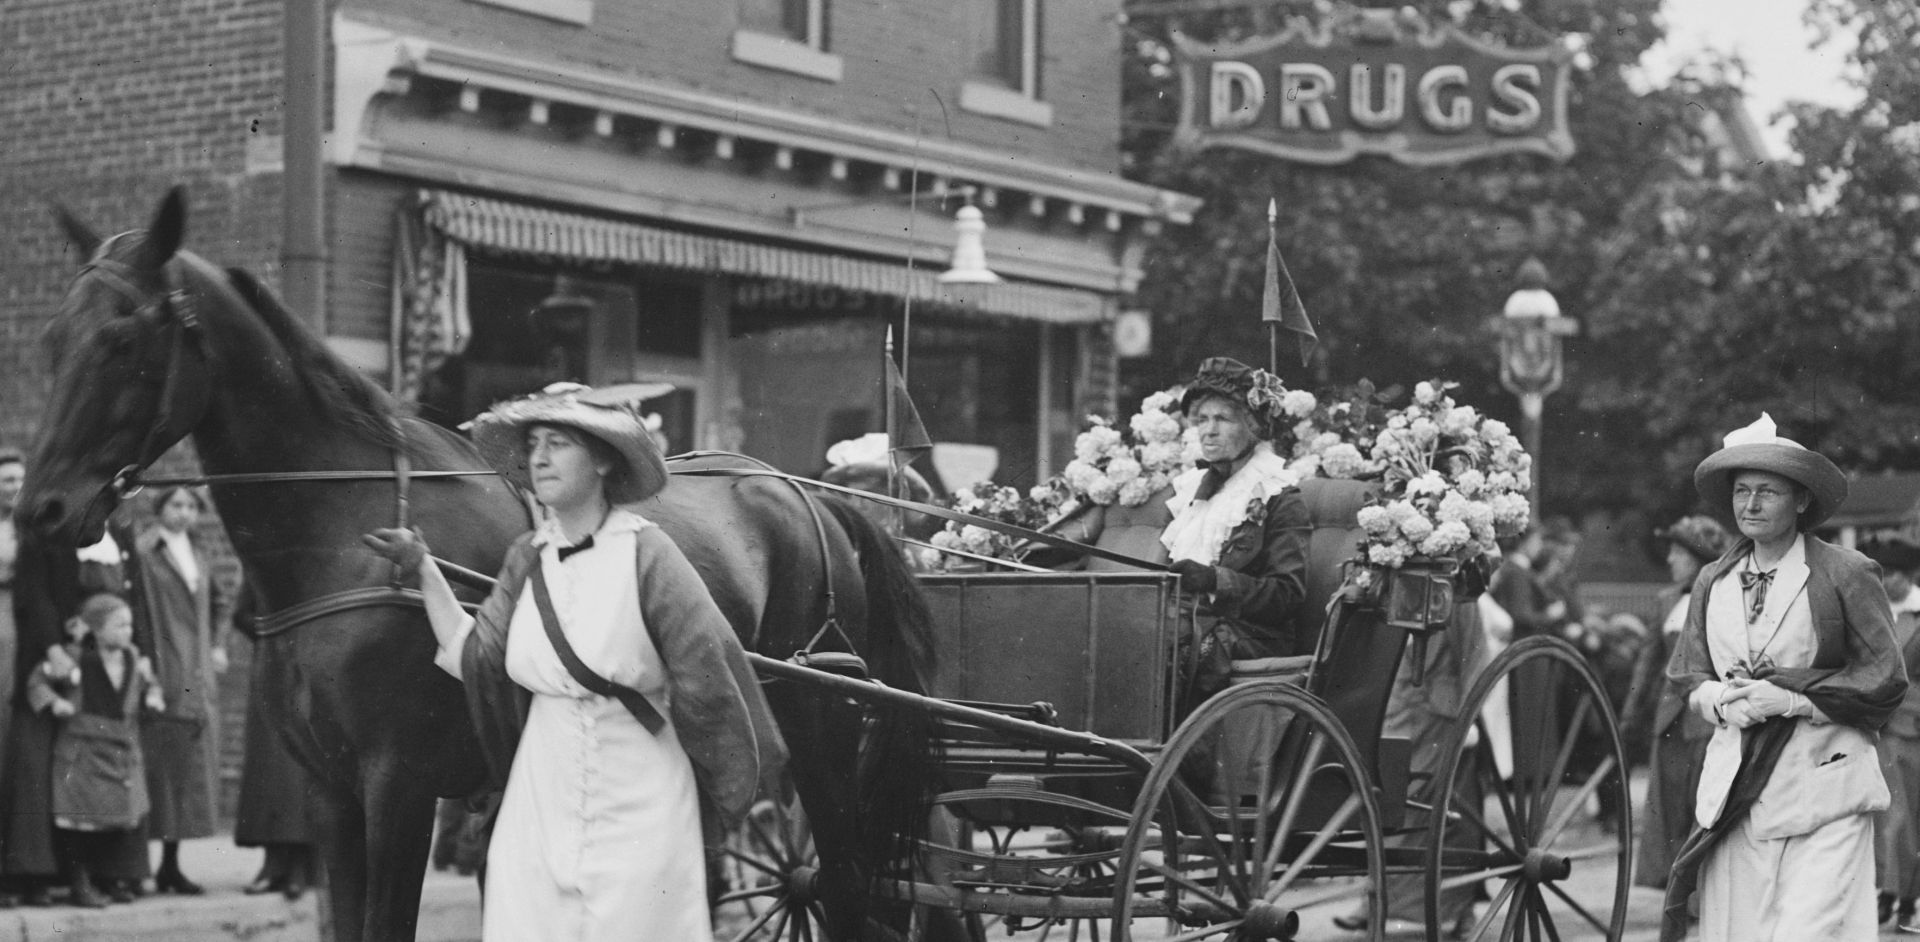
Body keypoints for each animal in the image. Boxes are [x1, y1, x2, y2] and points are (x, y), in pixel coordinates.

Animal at [20, 188, 936, 940]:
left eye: (124, 338)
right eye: (55, 336)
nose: (41, 508)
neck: (341, 525)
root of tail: (803, 491)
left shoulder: (398, 784)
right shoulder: (329, 791)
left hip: (817, 727)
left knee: (844, 884)